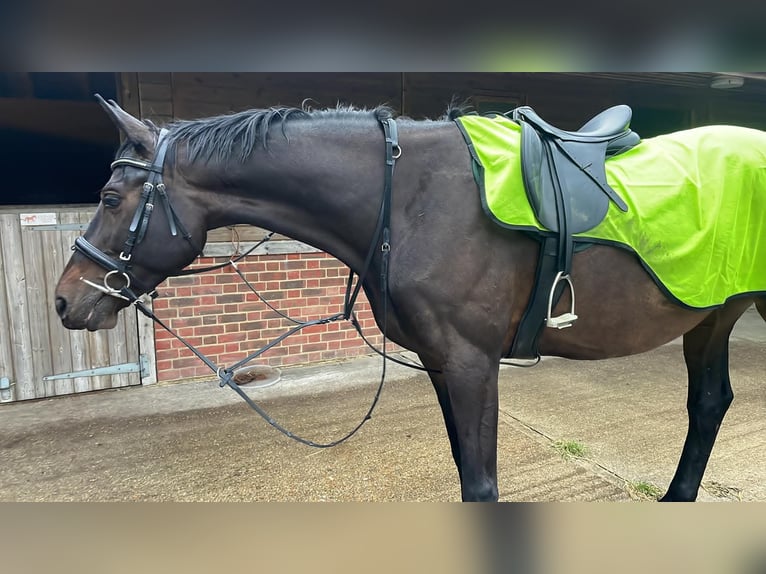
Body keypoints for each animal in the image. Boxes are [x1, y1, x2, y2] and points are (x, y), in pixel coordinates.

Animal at [54, 96, 766, 502]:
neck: (412, 198)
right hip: (713, 315)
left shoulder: (474, 363)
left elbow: (480, 482)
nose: (64, 302)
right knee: (709, 405)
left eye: (110, 198)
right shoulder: (439, 362)